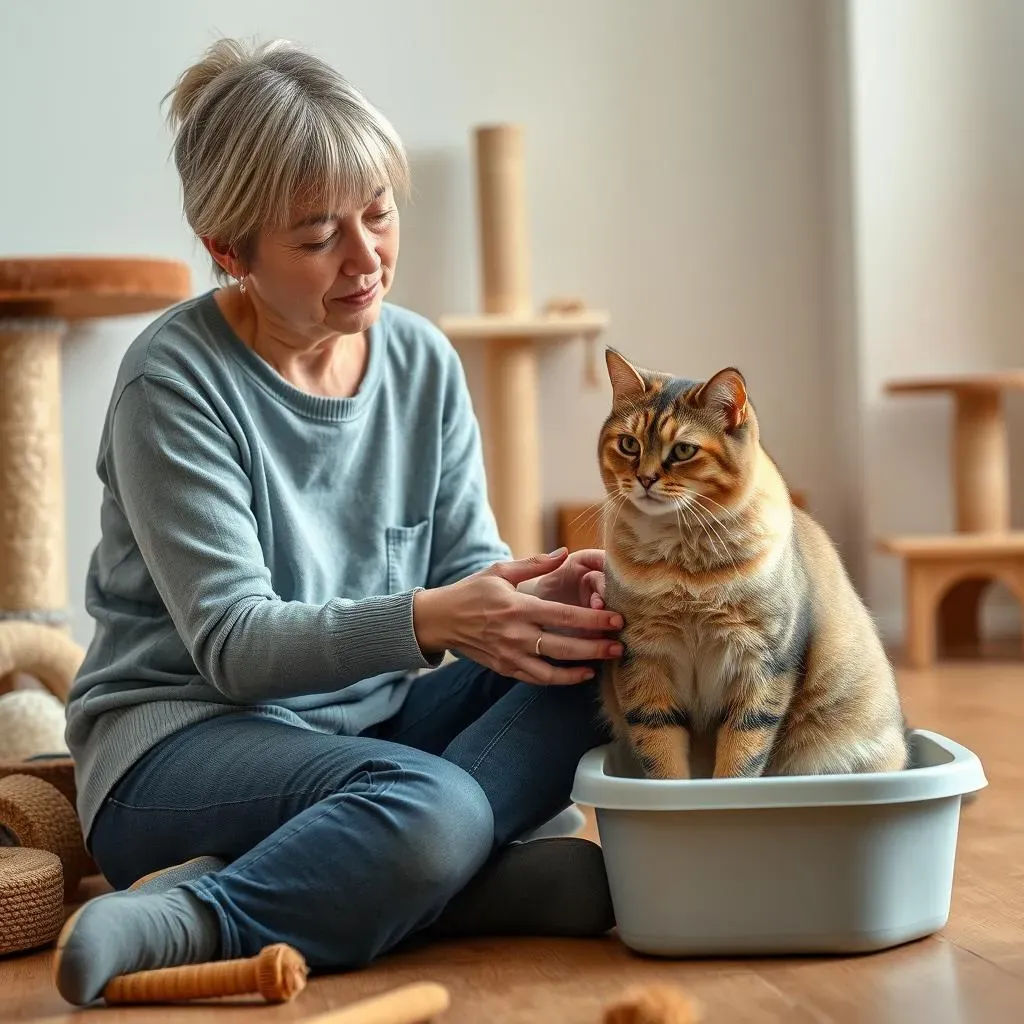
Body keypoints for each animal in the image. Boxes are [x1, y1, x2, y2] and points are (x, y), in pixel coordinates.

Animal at [598, 348, 909, 778]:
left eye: (683, 450)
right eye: (628, 444)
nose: (644, 479)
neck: (682, 562)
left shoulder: (762, 662)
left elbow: (743, 753)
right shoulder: (644, 658)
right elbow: (661, 752)